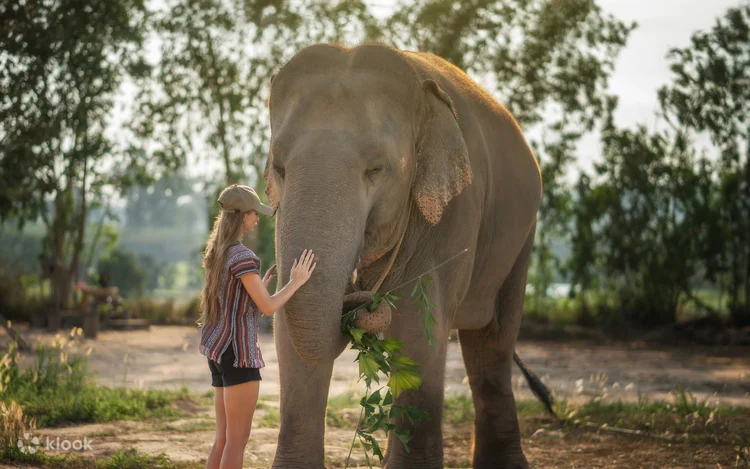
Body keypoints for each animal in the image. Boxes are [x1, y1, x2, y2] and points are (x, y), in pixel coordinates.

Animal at [263, 43, 543, 469]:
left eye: (376, 169)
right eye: (278, 167)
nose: (356, 301)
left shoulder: (455, 211)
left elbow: (416, 324)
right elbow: (288, 323)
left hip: (521, 237)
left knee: (493, 342)